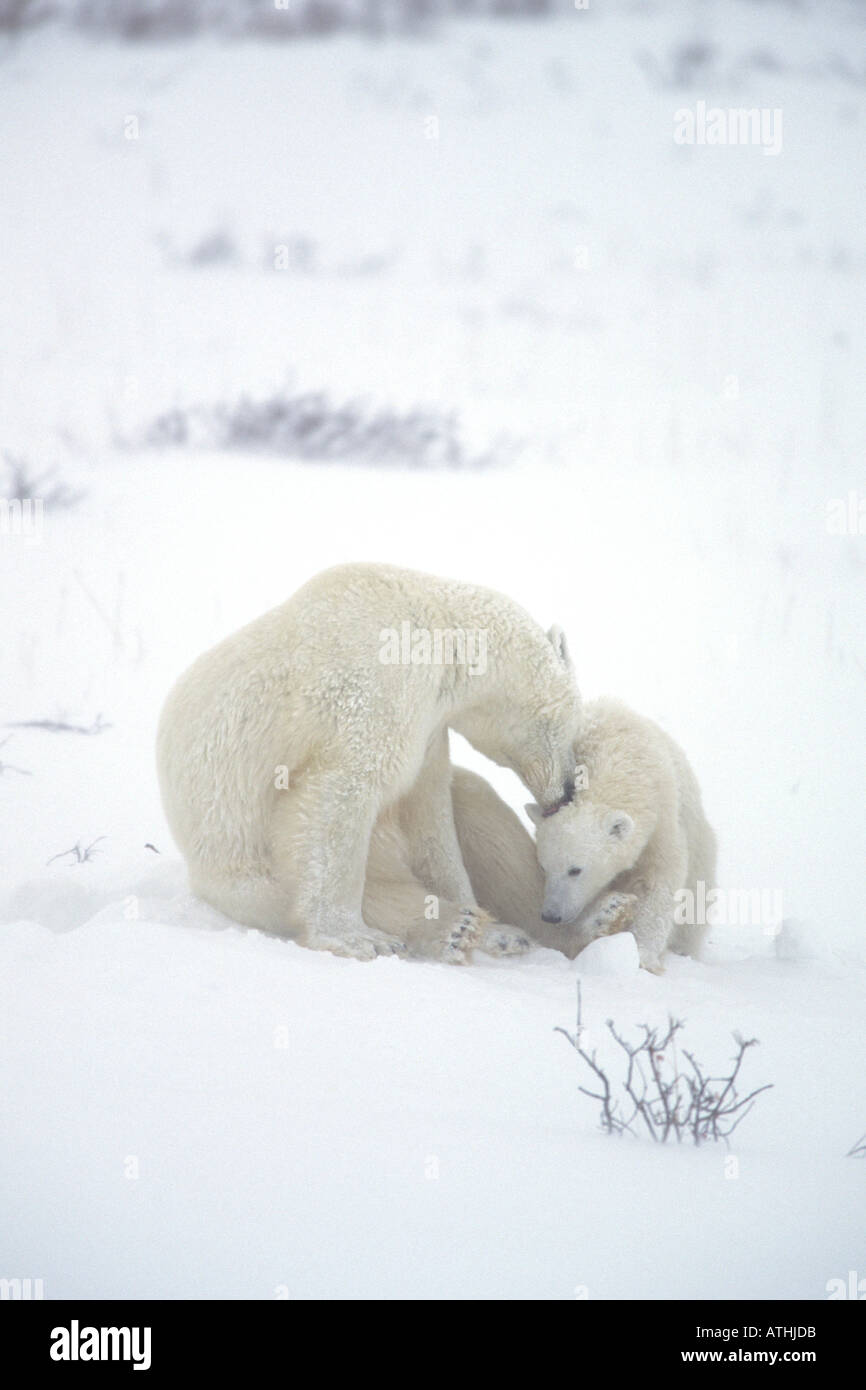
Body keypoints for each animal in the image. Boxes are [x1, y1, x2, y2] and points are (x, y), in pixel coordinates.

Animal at [156, 562, 580, 963]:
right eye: (573, 727)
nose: (568, 790)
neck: (442, 637)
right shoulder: (373, 687)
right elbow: (339, 793)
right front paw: (355, 938)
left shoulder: (428, 726)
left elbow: (430, 815)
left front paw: (488, 925)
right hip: (238, 866)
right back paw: (448, 927)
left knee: (476, 801)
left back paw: (498, 931)